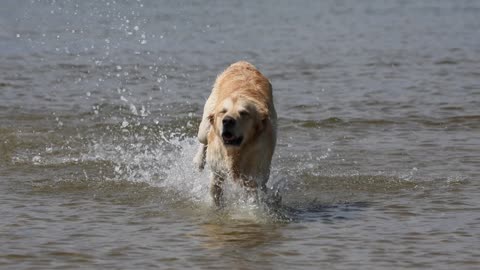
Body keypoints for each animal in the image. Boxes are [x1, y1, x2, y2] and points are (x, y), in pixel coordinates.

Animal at [194, 61, 278, 207]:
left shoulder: (255, 175)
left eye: (244, 113)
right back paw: (198, 161)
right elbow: (215, 192)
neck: (235, 152)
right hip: (205, 126)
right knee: (203, 141)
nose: (227, 120)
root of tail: (242, 62)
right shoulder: (217, 171)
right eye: (223, 111)